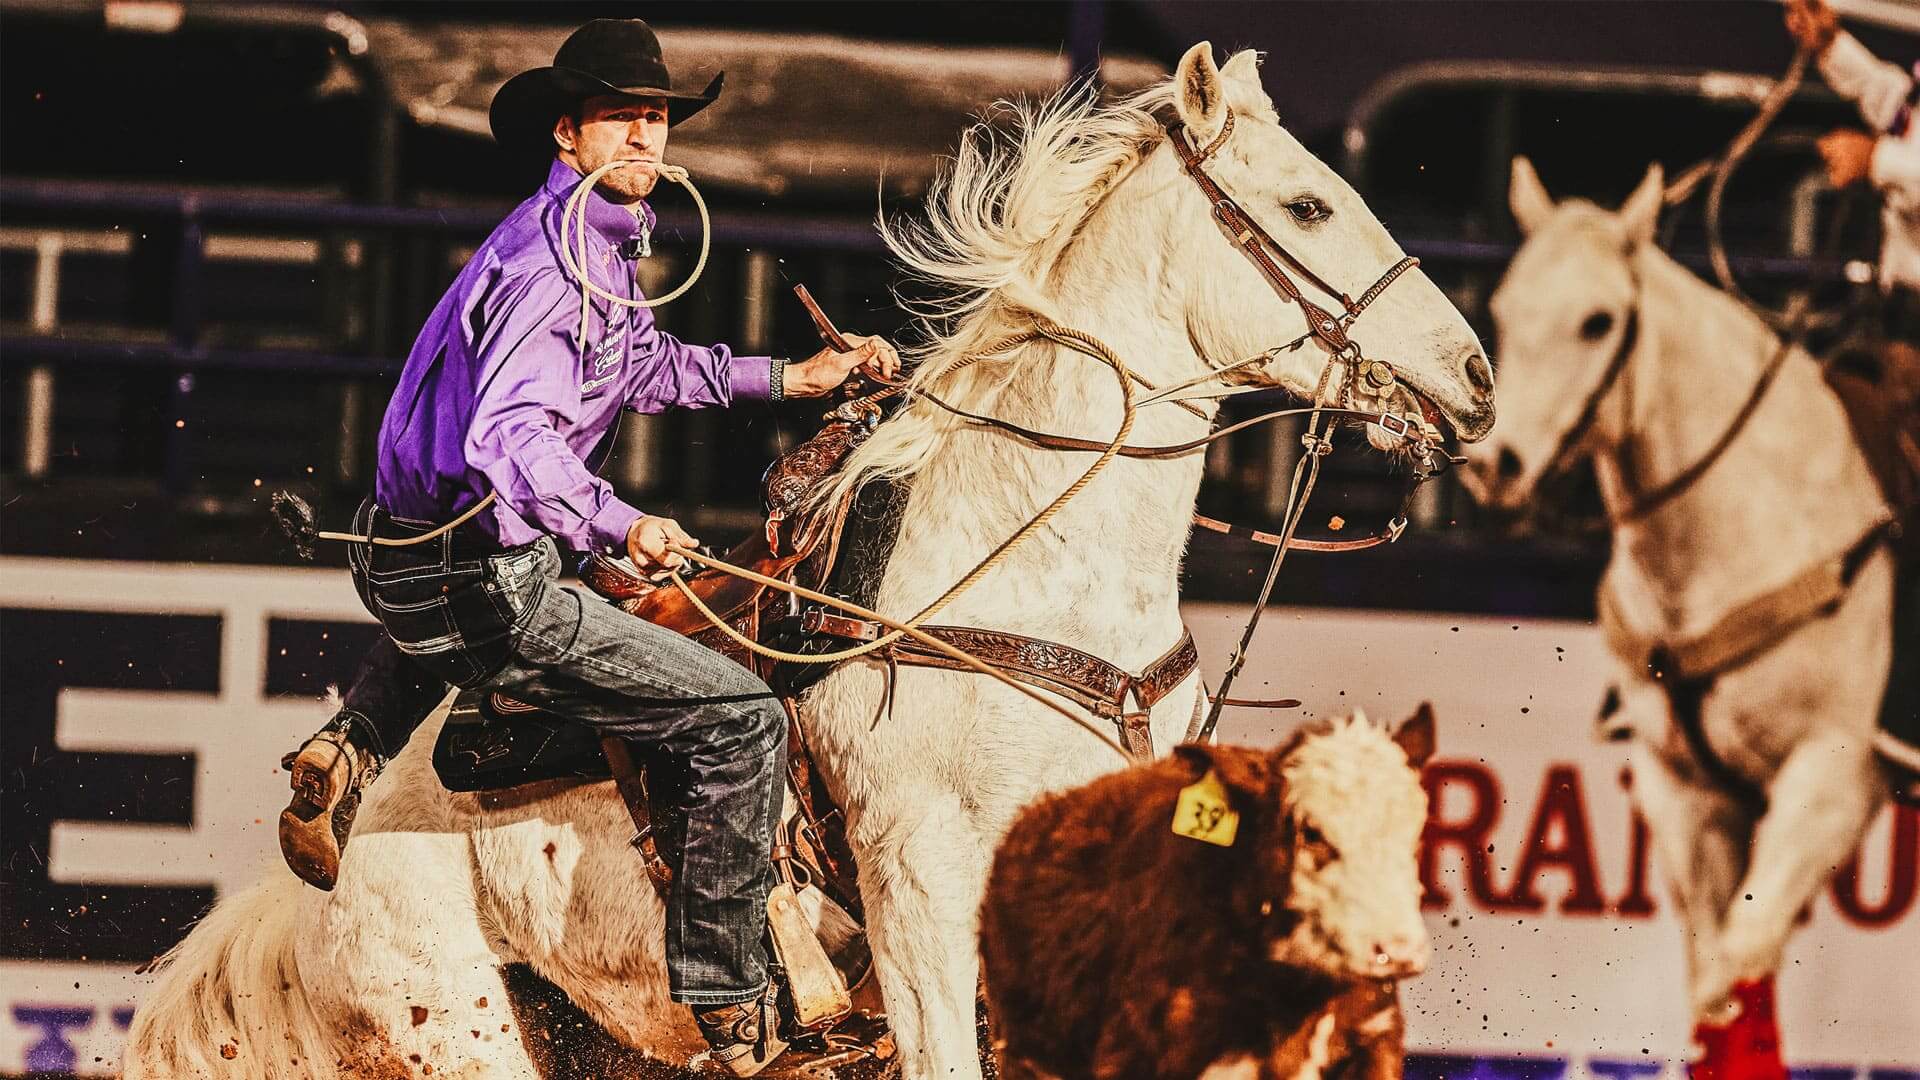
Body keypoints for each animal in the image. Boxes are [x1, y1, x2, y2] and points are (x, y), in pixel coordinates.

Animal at [1466, 155, 1889, 1068]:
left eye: (1599, 322)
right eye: (1504, 309)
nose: (1494, 464)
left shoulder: (1833, 783)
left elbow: (1737, 965)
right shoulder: (1686, 794)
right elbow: (1720, 996)